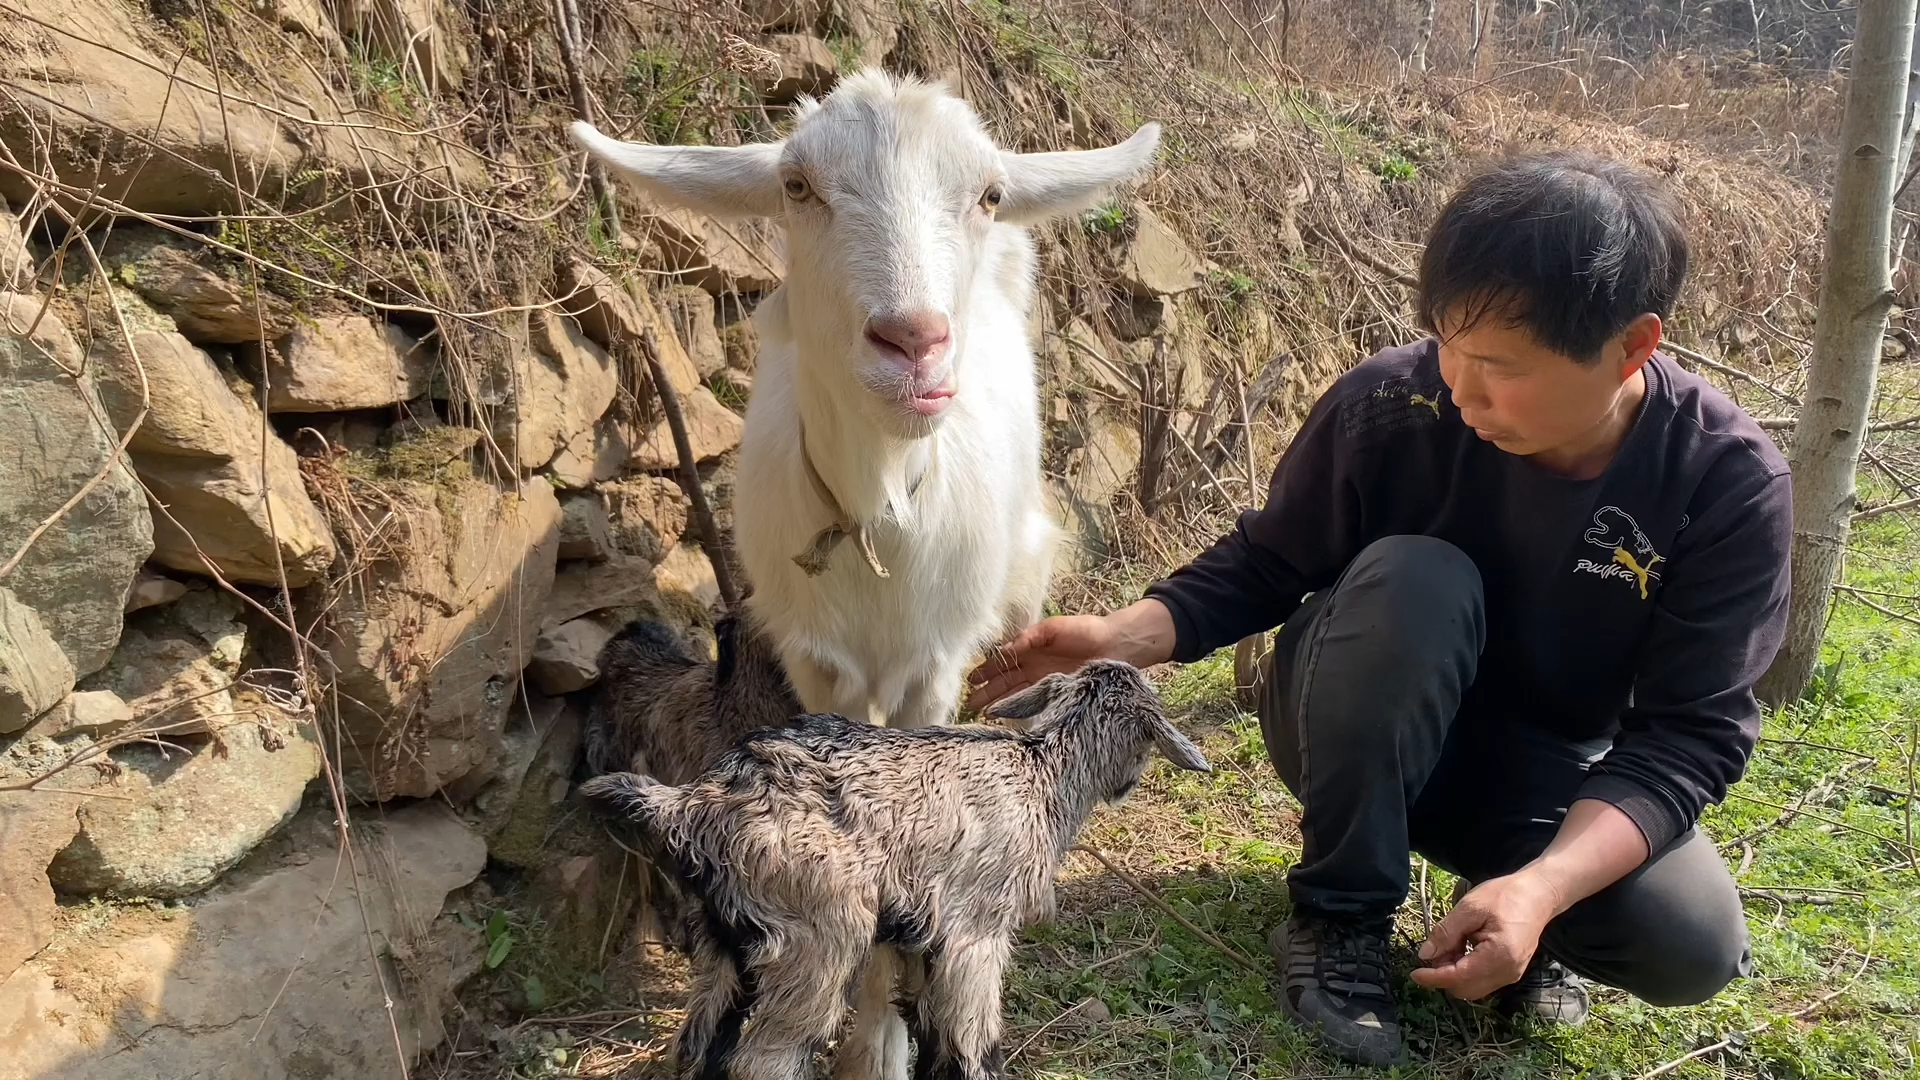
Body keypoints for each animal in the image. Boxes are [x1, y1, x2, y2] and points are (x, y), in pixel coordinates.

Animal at [568, 71, 1159, 1068]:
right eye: (797, 186)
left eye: (986, 194)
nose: (913, 342)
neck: (883, 510)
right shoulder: (820, 666)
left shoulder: (934, 669)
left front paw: (878, 1047)